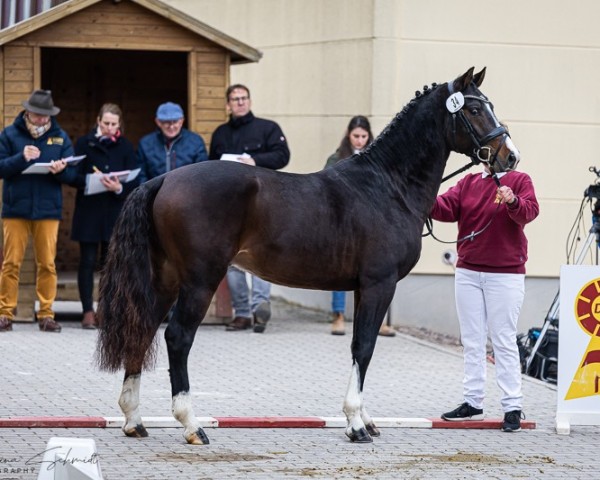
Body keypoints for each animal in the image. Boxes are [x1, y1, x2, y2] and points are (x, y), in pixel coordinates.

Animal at [96, 65, 516, 444]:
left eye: (490, 105)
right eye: (474, 109)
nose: (508, 157)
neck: (387, 186)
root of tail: (163, 179)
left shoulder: (362, 287)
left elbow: (360, 346)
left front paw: (365, 419)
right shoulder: (379, 284)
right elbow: (365, 346)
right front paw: (355, 424)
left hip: (165, 278)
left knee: (143, 330)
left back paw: (134, 420)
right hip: (201, 280)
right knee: (178, 337)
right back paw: (191, 424)